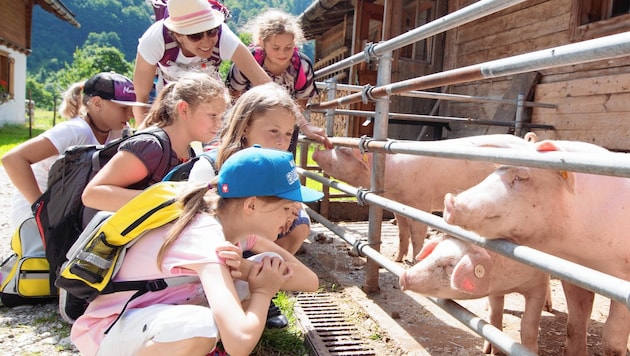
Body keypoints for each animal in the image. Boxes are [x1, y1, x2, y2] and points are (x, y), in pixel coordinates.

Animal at [314, 135, 536, 262]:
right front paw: (396, 259)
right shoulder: (397, 204)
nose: (316, 151)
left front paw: (414, 262)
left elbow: (417, 233)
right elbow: (402, 232)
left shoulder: (419, 203)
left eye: (343, 151)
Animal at [400, 235, 552, 354]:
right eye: (433, 254)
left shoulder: (538, 285)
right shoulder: (495, 291)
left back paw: (548, 308)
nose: (403, 276)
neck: (509, 285)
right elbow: (495, 314)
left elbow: (529, 324)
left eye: (450, 265)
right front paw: (490, 351)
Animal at [444, 139, 630, 356]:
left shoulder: (622, 277)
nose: (449, 201)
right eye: (495, 171)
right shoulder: (574, 272)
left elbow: (612, 338)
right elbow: (575, 322)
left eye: (521, 177)